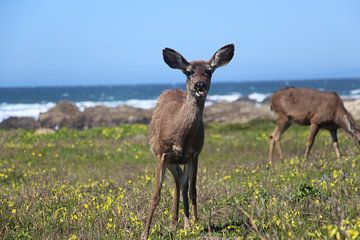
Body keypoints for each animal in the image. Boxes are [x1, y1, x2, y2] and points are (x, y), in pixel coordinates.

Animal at [142, 44, 235, 239]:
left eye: (209, 71)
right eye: (188, 72)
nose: (200, 84)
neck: (180, 137)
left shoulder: (194, 154)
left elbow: (193, 190)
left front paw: (197, 224)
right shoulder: (162, 153)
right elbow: (155, 195)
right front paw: (144, 233)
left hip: (182, 160)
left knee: (182, 183)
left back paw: (182, 224)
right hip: (169, 159)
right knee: (178, 181)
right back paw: (174, 223)